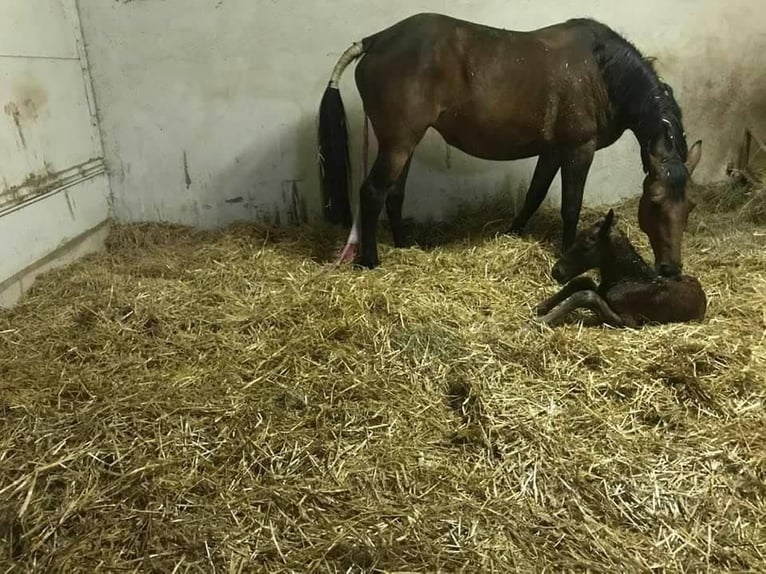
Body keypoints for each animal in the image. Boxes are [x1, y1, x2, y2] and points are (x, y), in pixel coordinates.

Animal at [536, 210, 708, 328]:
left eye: (586, 245)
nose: (556, 271)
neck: (628, 279)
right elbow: (582, 282)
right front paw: (542, 307)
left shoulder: (629, 322)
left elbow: (587, 295)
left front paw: (543, 320)